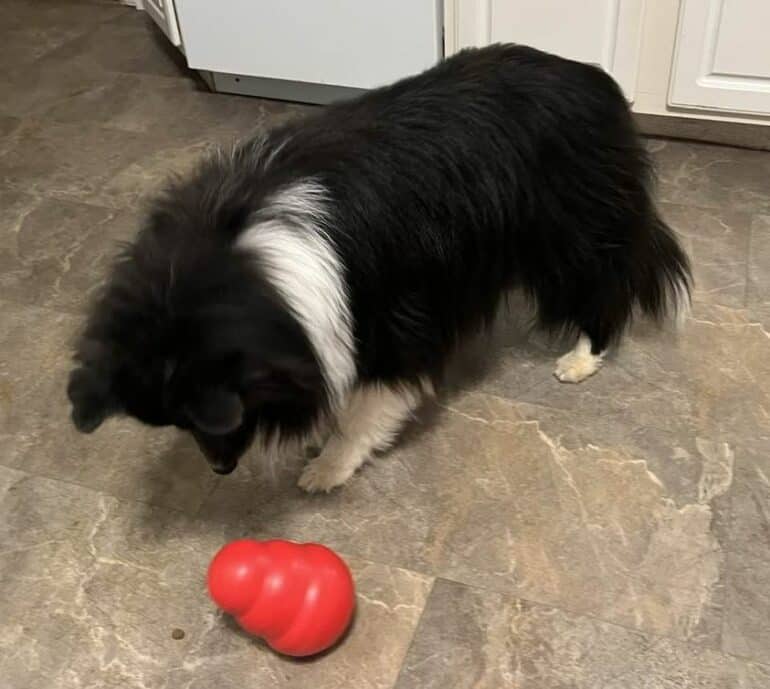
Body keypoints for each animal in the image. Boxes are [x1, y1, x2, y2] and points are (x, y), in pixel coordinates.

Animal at [66, 44, 688, 490]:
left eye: (204, 419)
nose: (220, 471)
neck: (249, 262)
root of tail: (594, 78)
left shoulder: (390, 321)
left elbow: (367, 408)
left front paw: (326, 468)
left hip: (570, 233)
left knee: (605, 286)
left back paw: (581, 359)